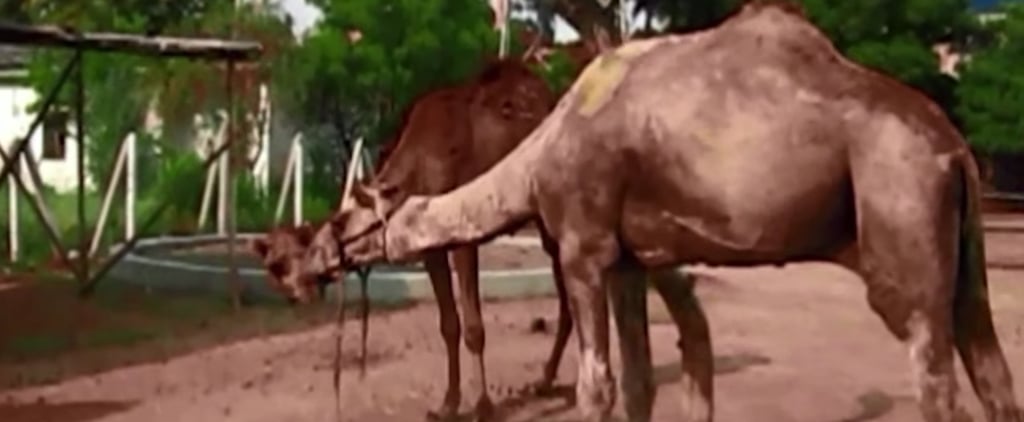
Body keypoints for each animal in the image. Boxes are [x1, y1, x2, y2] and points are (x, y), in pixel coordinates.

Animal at [302, 2, 1023, 422]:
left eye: (340, 221)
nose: (297, 268)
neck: (539, 154)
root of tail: (956, 150)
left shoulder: (585, 246)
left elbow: (598, 387)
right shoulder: (626, 260)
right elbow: (641, 383)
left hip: (901, 216)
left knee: (937, 382)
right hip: (963, 258)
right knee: (994, 375)